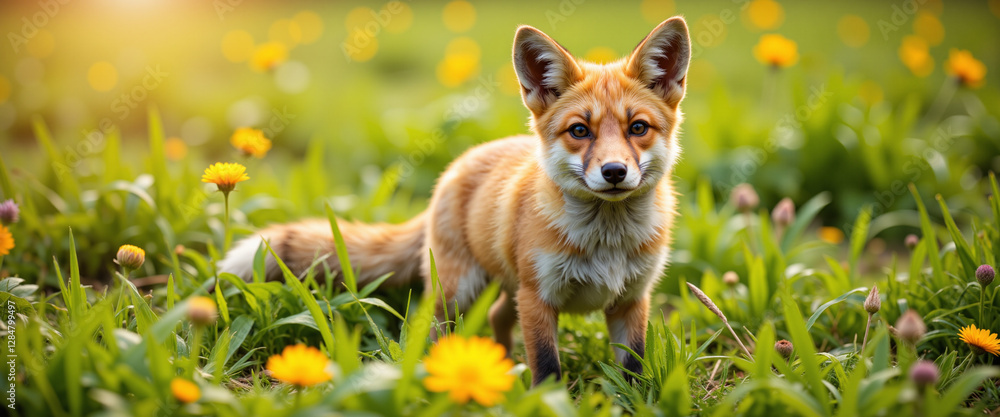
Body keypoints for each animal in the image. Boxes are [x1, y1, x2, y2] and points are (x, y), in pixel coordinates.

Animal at [220, 17, 691, 386]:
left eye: (637, 127)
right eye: (580, 131)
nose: (614, 172)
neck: (605, 241)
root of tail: (457, 165)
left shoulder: (632, 300)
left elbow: (632, 371)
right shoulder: (538, 298)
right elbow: (547, 369)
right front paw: (545, 401)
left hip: (504, 288)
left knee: (498, 317)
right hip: (457, 292)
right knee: (433, 331)